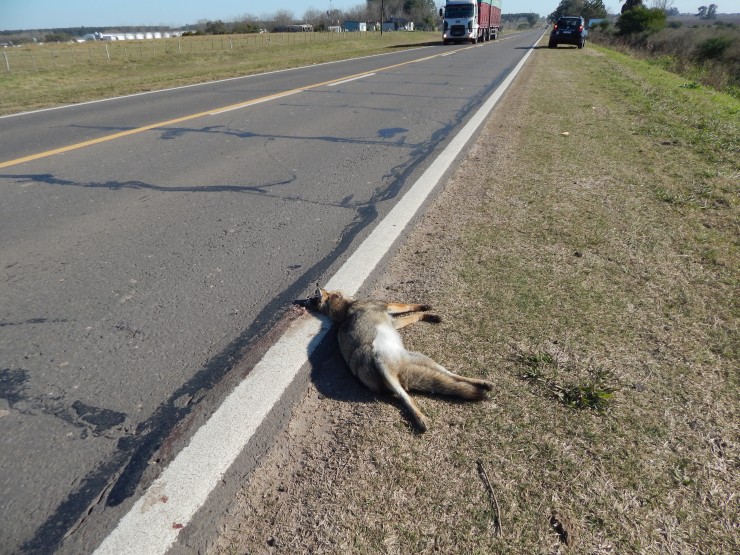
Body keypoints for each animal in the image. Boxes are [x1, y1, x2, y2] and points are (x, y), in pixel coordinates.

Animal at [300, 288, 492, 432]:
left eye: (312, 298)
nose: (304, 300)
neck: (345, 309)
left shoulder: (394, 321)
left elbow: (411, 313)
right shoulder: (390, 308)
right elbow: (410, 309)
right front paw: (427, 312)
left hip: (412, 368)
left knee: (431, 385)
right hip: (406, 366)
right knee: (425, 389)